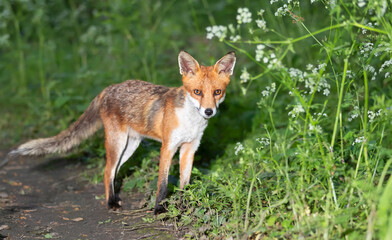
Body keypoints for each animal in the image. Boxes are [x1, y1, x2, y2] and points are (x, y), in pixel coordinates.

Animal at [6, 50, 236, 214]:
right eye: (197, 92)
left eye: (217, 92)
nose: (209, 111)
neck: (191, 122)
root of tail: (108, 88)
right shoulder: (168, 147)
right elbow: (162, 184)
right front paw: (159, 209)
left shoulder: (190, 148)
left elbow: (184, 184)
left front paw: (183, 207)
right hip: (117, 143)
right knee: (107, 170)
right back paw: (110, 204)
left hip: (130, 146)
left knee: (113, 171)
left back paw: (115, 198)